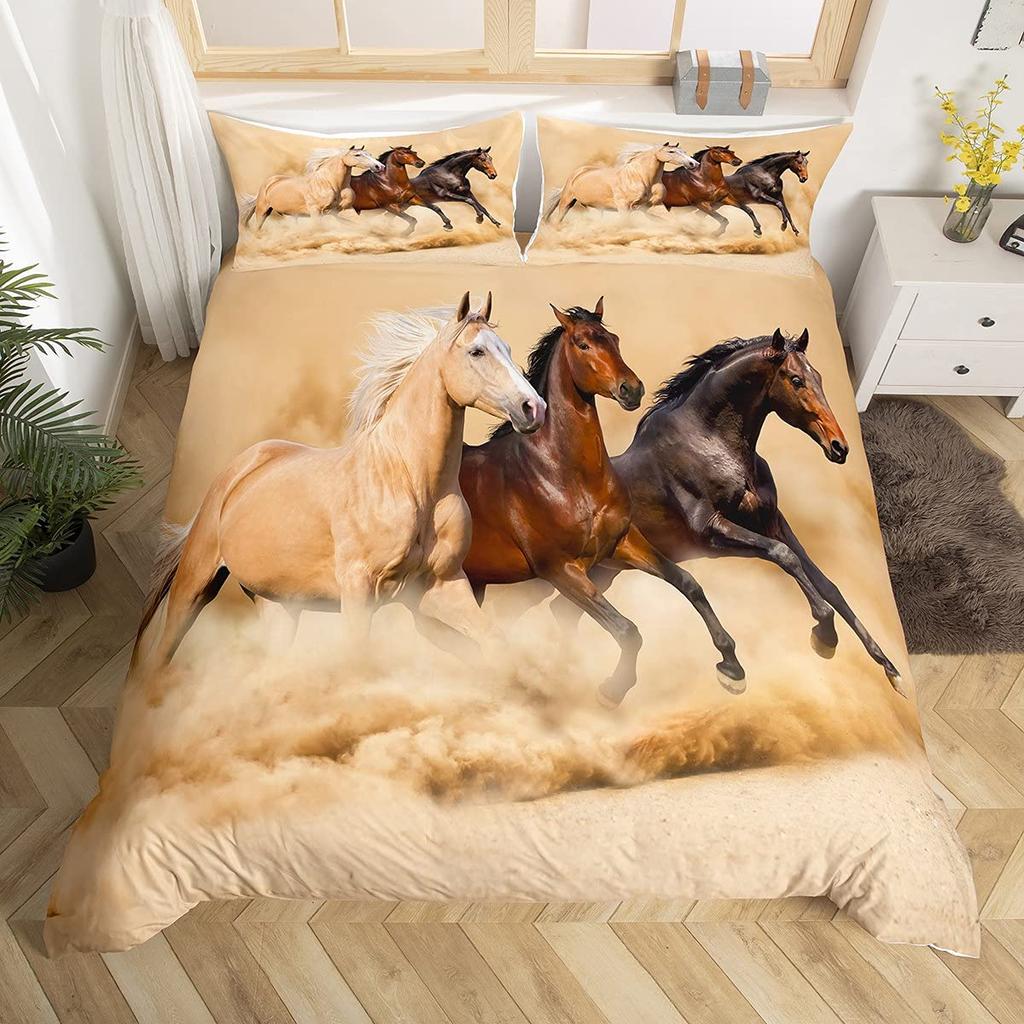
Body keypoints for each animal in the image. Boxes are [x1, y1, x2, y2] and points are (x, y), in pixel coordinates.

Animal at [133, 293, 546, 674]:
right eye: (477, 351)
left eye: (507, 348)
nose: (534, 408)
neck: (410, 484)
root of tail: (238, 469)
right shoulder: (358, 592)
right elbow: (357, 662)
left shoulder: (441, 586)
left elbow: (494, 642)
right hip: (194, 584)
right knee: (161, 652)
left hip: (279, 608)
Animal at [244, 146, 384, 231]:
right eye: (357, 155)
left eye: (369, 154)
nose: (379, 166)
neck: (330, 183)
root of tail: (269, 182)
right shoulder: (315, 211)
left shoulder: (341, 210)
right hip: (262, 211)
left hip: (288, 214)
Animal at [456, 300, 745, 707]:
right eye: (582, 344)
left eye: (614, 339)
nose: (632, 389)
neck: (565, 476)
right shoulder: (560, 570)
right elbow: (627, 630)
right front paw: (613, 688)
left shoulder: (621, 543)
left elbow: (688, 583)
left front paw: (732, 668)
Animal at [546, 142, 698, 223]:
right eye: (671, 151)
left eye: (684, 151)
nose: (693, 163)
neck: (642, 178)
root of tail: (577, 173)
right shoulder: (624, 207)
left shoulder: (654, 205)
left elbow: (671, 220)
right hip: (567, 202)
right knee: (558, 219)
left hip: (594, 207)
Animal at [553, 329, 906, 697]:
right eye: (796, 380)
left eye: (820, 378)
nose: (839, 447)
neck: (711, 445)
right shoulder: (713, 532)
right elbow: (785, 557)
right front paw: (824, 634)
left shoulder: (771, 521)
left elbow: (826, 583)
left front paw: (890, 669)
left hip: (603, 572)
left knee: (563, 612)